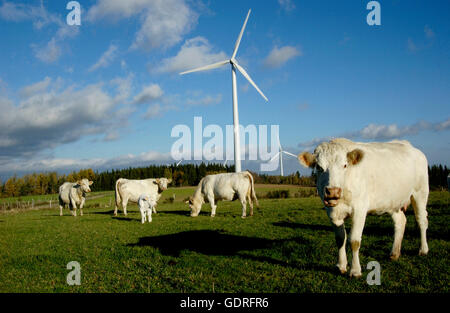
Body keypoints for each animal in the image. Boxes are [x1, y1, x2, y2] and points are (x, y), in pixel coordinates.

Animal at [298, 138, 428, 276]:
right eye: (319, 167)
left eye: (345, 165)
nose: (333, 191)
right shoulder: (332, 213)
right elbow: (340, 238)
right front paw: (341, 266)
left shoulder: (359, 209)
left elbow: (354, 240)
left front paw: (355, 270)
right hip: (393, 201)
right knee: (400, 222)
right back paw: (394, 253)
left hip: (420, 193)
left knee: (421, 221)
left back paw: (423, 250)